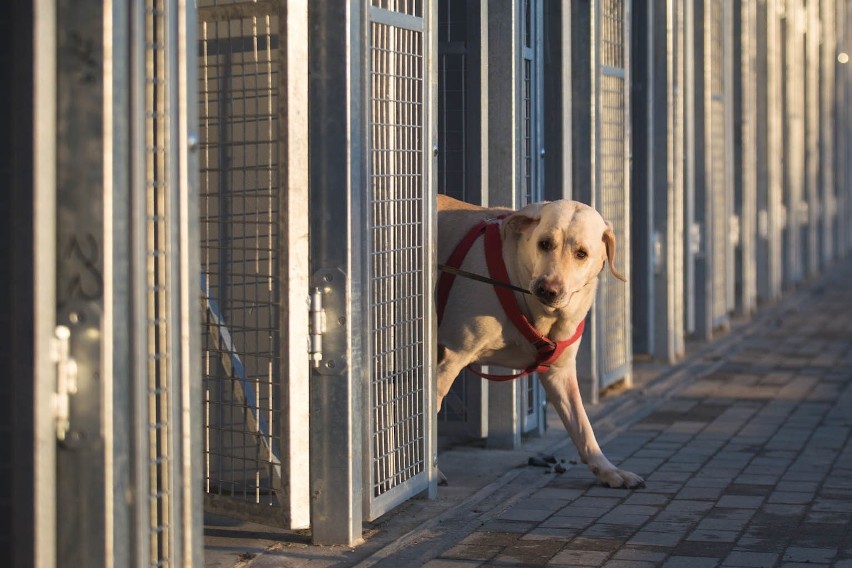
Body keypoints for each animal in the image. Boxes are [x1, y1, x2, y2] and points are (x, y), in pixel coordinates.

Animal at [436, 194, 644, 488]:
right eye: (544, 243)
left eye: (581, 253)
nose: (548, 289)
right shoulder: (450, 358)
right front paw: (430, 473)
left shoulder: (560, 373)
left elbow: (583, 427)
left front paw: (608, 470)